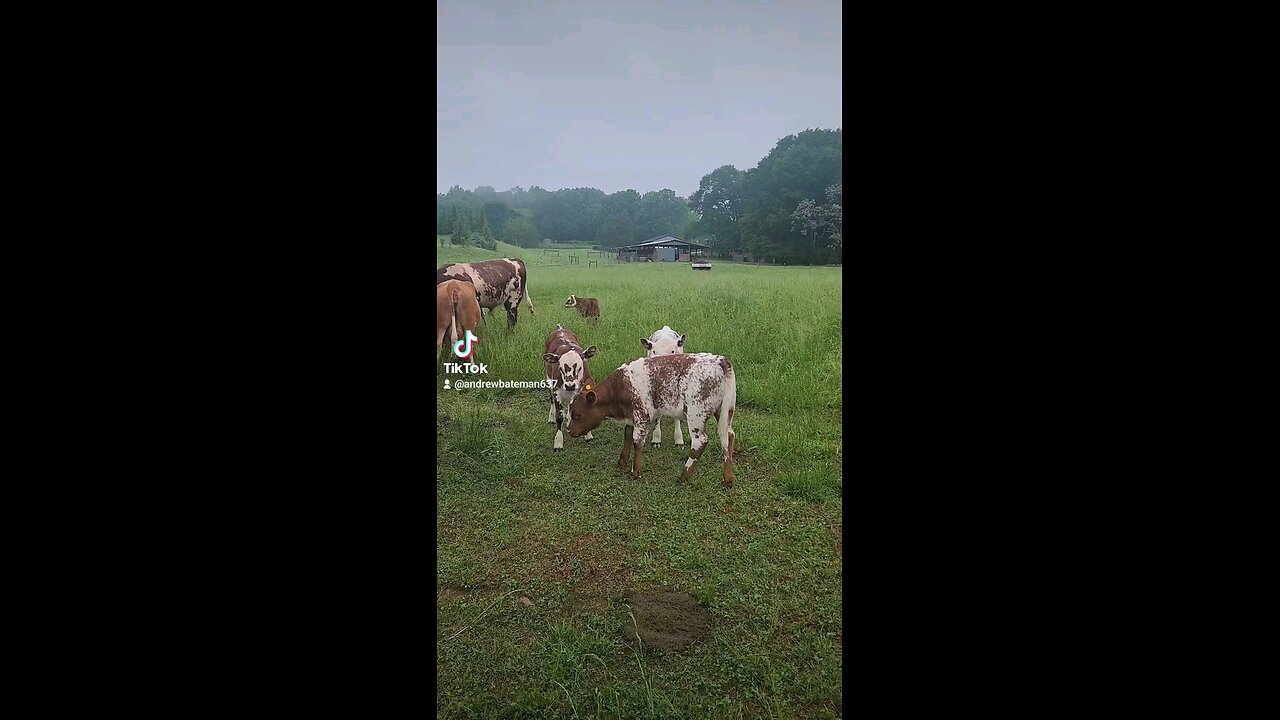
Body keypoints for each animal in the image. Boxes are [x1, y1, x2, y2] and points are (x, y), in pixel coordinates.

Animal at [565, 351, 737, 484]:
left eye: (578, 415)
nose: (569, 431)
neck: (621, 386)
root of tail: (719, 360)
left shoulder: (641, 415)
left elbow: (637, 441)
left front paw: (636, 472)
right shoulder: (632, 415)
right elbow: (627, 435)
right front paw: (622, 461)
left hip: (696, 414)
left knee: (700, 442)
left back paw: (683, 476)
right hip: (725, 410)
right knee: (728, 436)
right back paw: (728, 479)